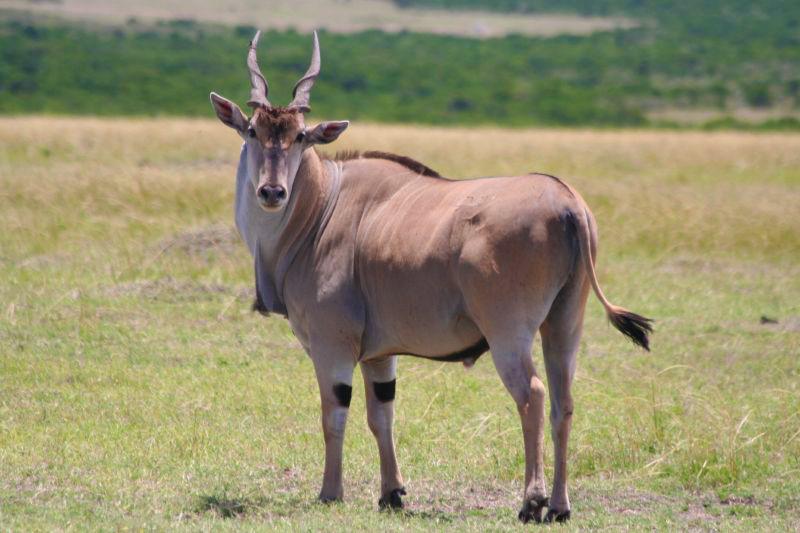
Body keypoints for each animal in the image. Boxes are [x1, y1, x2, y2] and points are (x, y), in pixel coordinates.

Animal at [209, 30, 652, 524]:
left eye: (301, 136)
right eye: (253, 130)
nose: (272, 191)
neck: (321, 206)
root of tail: (568, 202)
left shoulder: (331, 345)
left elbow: (333, 415)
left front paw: (331, 492)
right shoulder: (379, 356)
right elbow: (381, 415)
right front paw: (391, 493)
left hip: (509, 333)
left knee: (533, 396)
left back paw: (531, 501)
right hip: (563, 325)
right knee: (563, 401)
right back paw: (558, 506)